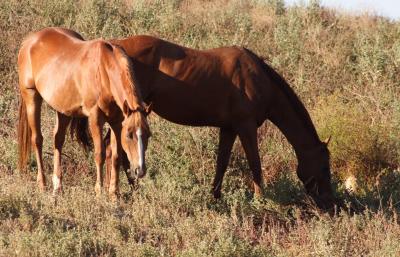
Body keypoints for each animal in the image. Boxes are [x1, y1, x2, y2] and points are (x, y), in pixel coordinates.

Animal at [16, 27, 152, 197]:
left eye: (148, 134)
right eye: (129, 135)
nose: (140, 170)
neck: (104, 70)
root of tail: (29, 41)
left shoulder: (117, 121)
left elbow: (116, 156)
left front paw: (114, 194)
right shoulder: (95, 118)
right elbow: (100, 154)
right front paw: (99, 192)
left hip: (63, 109)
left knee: (58, 140)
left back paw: (58, 186)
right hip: (31, 97)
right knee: (37, 139)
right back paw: (42, 184)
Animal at [105, 35, 334, 209]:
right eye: (324, 166)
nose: (330, 202)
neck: (260, 80)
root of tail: (115, 46)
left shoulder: (228, 128)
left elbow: (221, 163)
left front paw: (215, 197)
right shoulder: (246, 126)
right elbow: (255, 164)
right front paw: (260, 202)